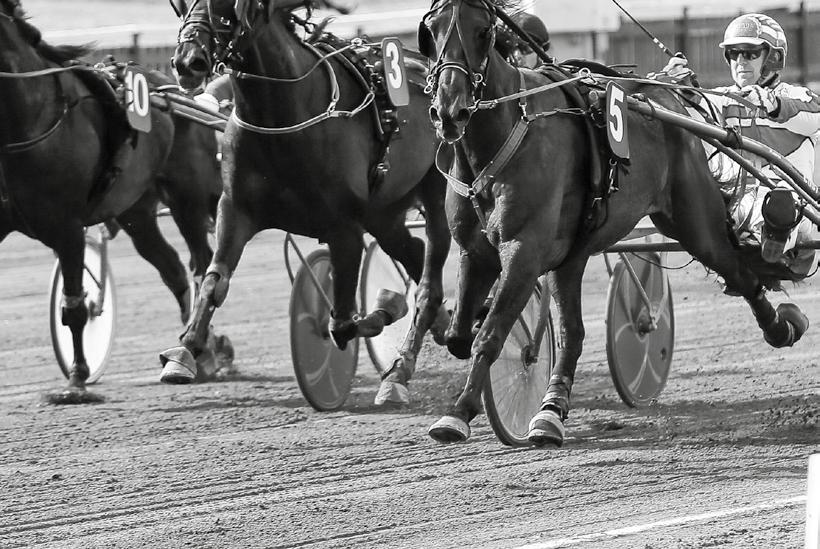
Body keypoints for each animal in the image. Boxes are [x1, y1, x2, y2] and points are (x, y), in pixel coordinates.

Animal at [0, 0, 221, 400]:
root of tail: (177, 93)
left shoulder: (68, 229)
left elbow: (74, 307)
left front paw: (76, 379)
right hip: (137, 212)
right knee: (172, 267)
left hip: (187, 200)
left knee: (201, 264)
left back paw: (201, 350)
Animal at [159, 1, 448, 394]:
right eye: (184, 5)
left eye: (226, 6)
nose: (189, 61)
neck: (281, 119)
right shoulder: (235, 209)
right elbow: (214, 281)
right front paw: (185, 351)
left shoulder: (345, 227)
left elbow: (341, 324)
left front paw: (387, 305)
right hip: (384, 213)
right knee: (414, 252)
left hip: (434, 188)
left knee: (432, 266)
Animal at [420, 0, 812, 446]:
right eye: (430, 32)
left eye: (483, 31)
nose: (450, 111)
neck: (507, 130)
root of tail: (667, 98)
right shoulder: (476, 251)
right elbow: (459, 337)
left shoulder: (523, 251)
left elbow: (489, 334)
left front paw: (458, 412)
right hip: (574, 253)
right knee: (572, 332)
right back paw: (550, 412)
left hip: (695, 224)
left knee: (741, 273)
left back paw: (782, 326)